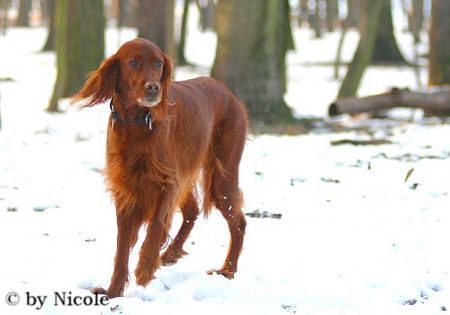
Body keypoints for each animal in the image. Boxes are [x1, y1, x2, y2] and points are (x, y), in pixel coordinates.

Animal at [74, 39, 250, 298]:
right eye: (133, 62)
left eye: (158, 63)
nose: (154, 88)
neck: (136, 124)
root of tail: (228, 93)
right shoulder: (126, 192)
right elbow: (121, 247)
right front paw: (113, 292)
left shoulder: (166, 183)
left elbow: (156, 226)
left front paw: (145, 268)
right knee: (193, 211)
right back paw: (171, 254)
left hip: (222, 178)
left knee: (238, 222)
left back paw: (227, 270)